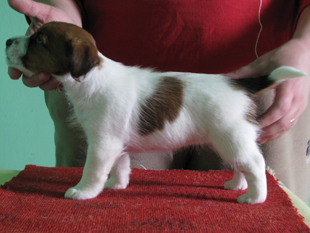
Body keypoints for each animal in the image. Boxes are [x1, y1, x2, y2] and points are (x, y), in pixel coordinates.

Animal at [5, 22, 308, 204]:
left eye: (39, 41)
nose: (7, 41)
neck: (92, 77)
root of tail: (238, 84)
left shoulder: (102, 143)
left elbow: (93, 169)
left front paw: (84, 191)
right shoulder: (116, 142)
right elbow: (121, 164)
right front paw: (117, 184)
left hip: (231, 137)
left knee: (255, 164)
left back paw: (254, 198)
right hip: (229, 140)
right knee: (241, 164)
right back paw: (236, 185)